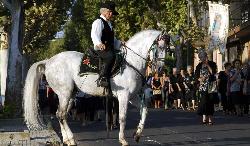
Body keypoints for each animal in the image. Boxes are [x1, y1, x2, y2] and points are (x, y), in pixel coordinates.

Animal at [23, 29, 168, 145]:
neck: (131, 62)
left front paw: (137, 135)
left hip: (70, 95)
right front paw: (123, 140)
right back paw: (71, 140)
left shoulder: (132, 97)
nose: (160, 69)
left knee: (60, 114)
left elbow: (144, 111)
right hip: (65, 93)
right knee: (61, 114)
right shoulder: (124, 96)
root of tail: (48, 61)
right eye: (159, 47)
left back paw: (67, 140)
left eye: (168, 49)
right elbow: (122, 117)